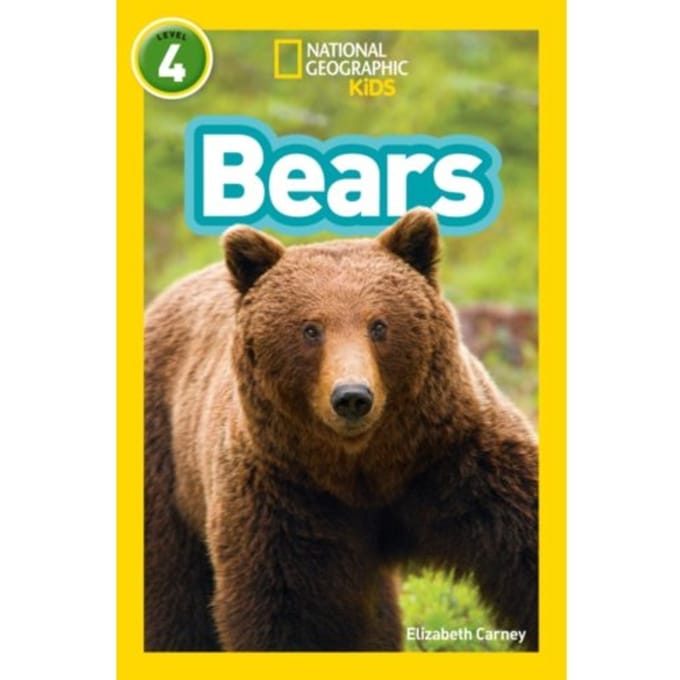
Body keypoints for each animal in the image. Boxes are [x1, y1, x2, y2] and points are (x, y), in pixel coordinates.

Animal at [144, 208, 538, 652]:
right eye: (310, 329)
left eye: (379, 325)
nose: (352, 396)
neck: (362, 468)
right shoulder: (283, 497)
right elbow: (284, 611)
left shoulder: (459, 460)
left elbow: (525, 546)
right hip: (164, 463)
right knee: (173, 592)